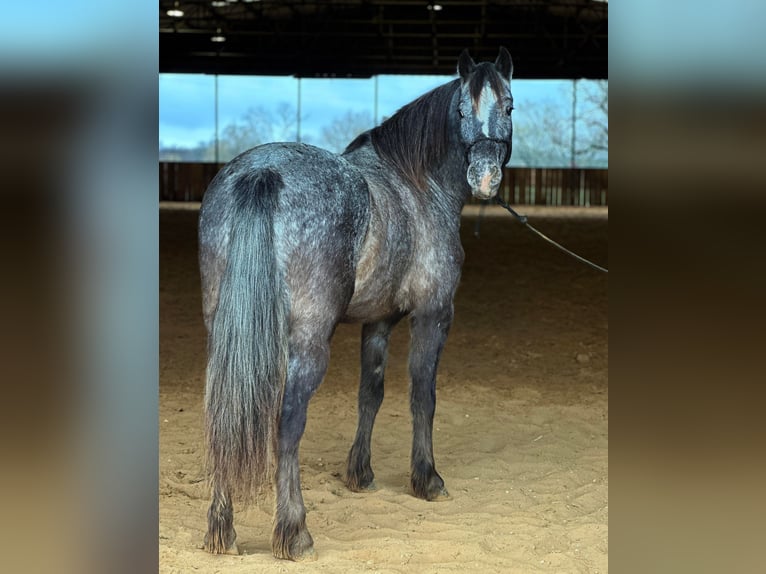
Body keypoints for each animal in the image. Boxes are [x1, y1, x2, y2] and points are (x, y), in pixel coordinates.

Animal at [201, 49, 516, 564]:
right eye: (462, 109)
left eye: (507, 105)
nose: (485, 177)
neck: (417, 185)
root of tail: (260, 173)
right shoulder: (434, 315)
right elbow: (422, 395)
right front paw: (427, 479)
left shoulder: (378, 321)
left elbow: (371, 393)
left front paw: (360, 474)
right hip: (308, 344)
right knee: (288, 424)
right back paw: (295, 533)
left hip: (224, 337)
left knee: (225, 415)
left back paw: (221, 531)